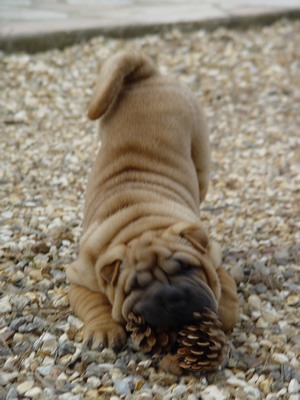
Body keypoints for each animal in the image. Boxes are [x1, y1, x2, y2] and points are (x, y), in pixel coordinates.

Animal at [66, 51, 239, 352]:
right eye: (134, 286)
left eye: (187, 267)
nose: (171, 296)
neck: (140, 225)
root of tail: (149, 75)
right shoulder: (80, 277)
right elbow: (94, 302)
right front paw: (103, 329)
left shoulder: (212, 254)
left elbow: (223, 283)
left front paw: (225, 311)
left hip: (200, 154)